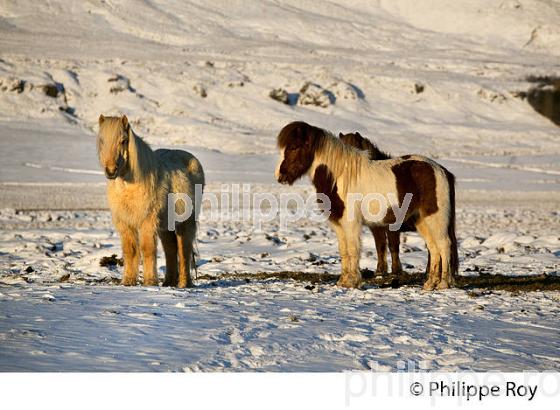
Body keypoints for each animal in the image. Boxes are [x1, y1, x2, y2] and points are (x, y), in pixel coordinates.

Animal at [97, 114, 205, 288]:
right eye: (101, 140)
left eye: (123, 140)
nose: (111, 171)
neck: (129, 185)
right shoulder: (125, 223)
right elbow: (130, 250)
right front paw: (128, 281)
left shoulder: (147, 221)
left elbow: (147, 249)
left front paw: (149, 282)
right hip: (165, 227)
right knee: (170, 250)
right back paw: (168, 282)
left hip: (185, 223)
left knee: (184, 250)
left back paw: (183, 283)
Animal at [276, 120, 460, 290]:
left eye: (293, 147)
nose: (280, 176)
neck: (340, 177)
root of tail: (441, 170)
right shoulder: (338, 224)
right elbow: (343, 251)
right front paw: (343, 282)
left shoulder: (351, 223)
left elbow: (352, 250)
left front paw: (352, 282)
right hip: (421, 221)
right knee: (434, 248)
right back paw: (430, 284)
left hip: (436, 219)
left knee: (444, 245)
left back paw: (443, 284)